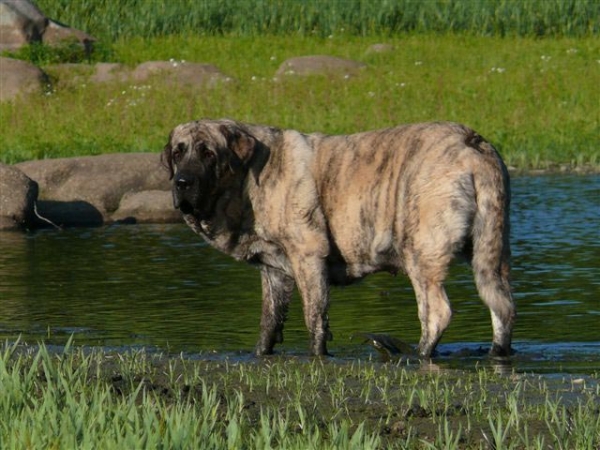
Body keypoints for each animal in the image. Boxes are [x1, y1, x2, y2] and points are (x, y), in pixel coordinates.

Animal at [163, 119, 516, 358]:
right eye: (178, 153)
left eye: (208, 153)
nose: (182, 182)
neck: (250, 178)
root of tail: (471, 142)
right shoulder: (275, 272)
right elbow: (268, 324)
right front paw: (260, 354)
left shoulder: (308, 257)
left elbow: (315, 319)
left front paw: (318, 356)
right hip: (492, 254)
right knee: (503, 307)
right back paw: (497, 353)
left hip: (421, 252)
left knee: (437, 314)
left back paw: (418, 354)